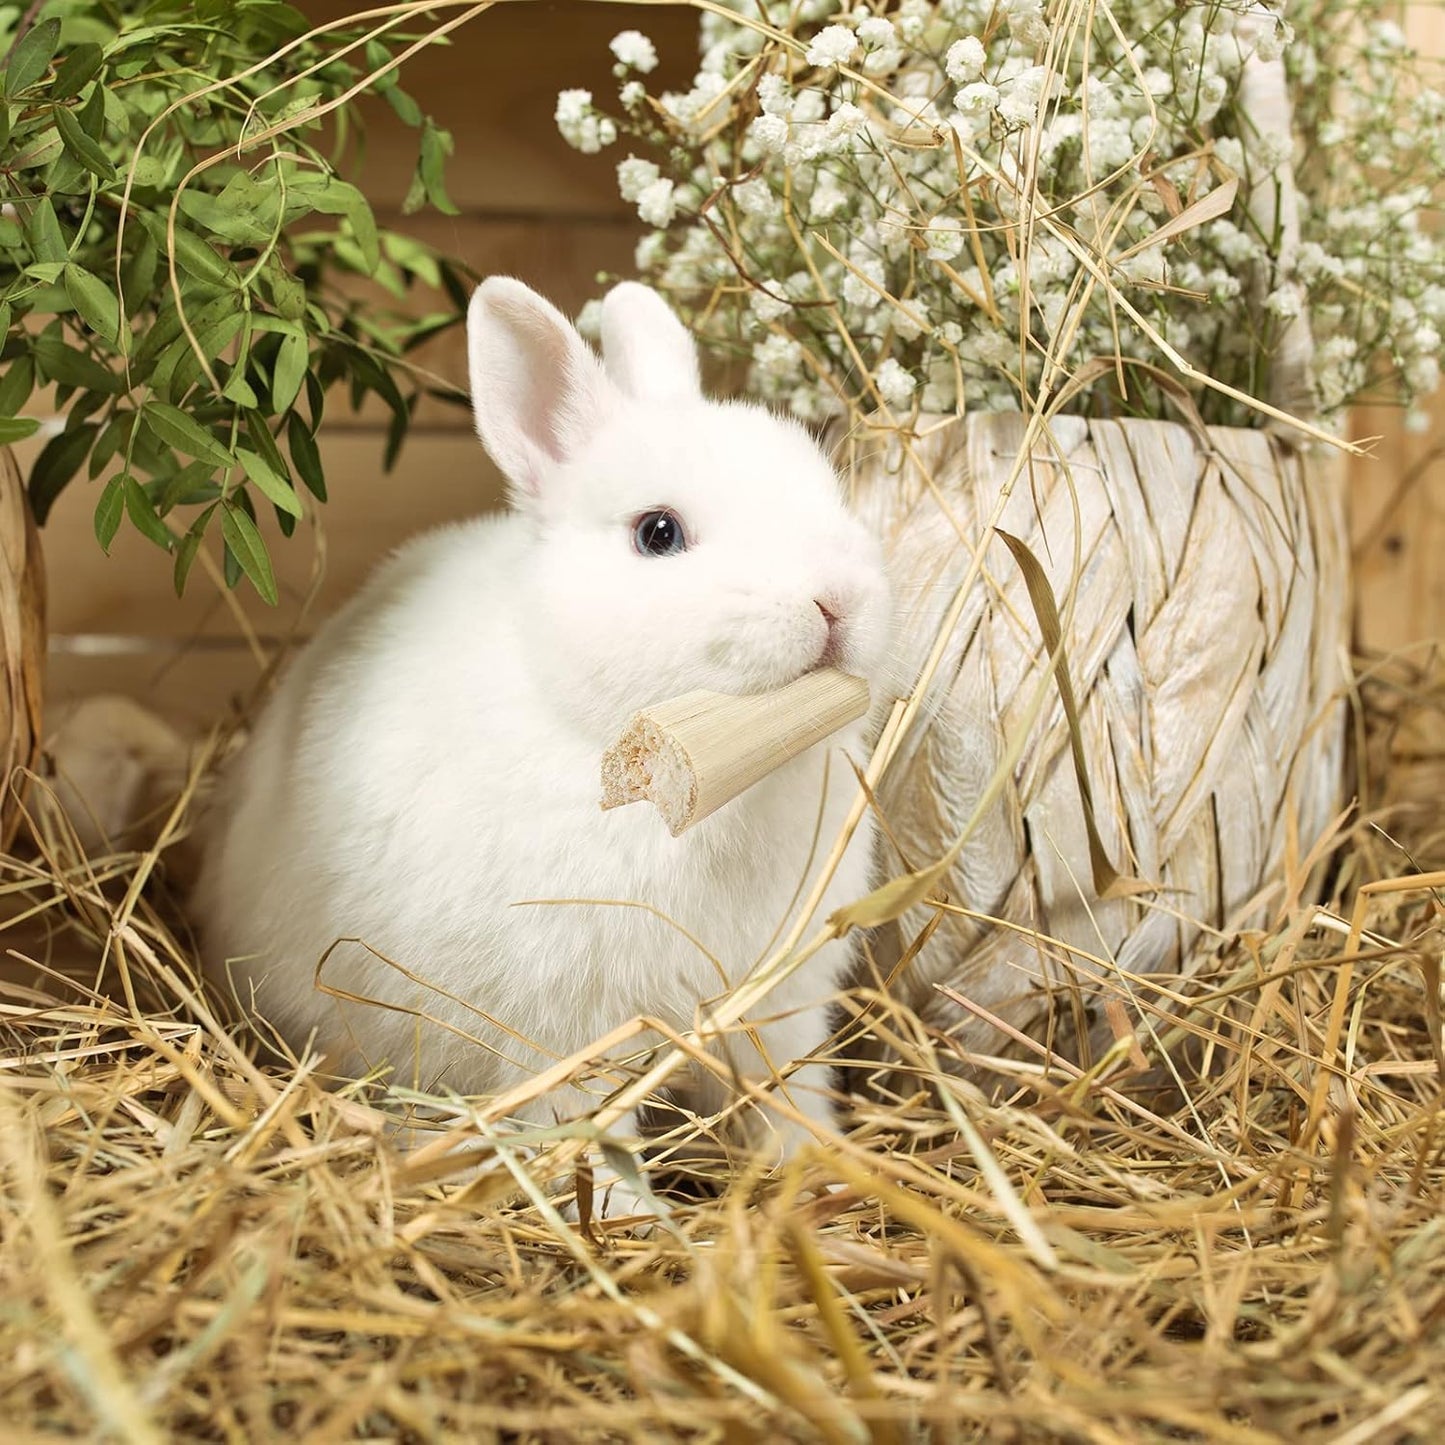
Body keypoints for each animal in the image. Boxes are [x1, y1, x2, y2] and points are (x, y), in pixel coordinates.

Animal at [192, 276, 893, 1216]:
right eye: (658, 533)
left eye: (826, 491)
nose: (838, 600)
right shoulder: (565, 1029)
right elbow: (587, 1126)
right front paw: (631, 1216)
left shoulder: (783, 1004)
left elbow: (787, 1094)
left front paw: (817, 1167)